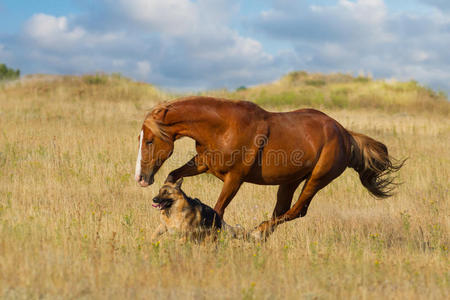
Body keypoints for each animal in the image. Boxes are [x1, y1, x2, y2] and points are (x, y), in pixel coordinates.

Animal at [134, 96, 404, 239]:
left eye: (149, 140)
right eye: (140, 138)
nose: (141, 178)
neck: (222, 127)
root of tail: (346, 134)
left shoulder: (235, 179)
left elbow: (218, 210)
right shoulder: (203, 164)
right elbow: (173, 175)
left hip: (316, 179)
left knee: (297, 211)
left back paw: (256, 233)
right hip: (290, 181)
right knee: (282, 211)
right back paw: (258, 235)